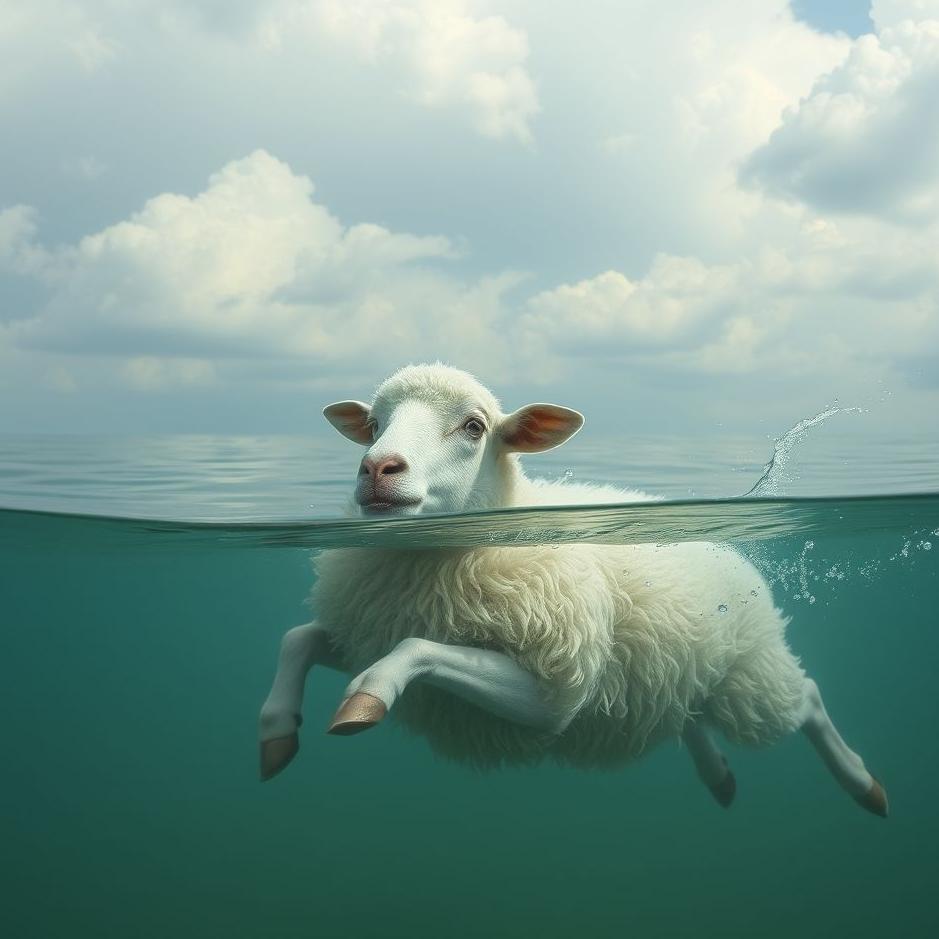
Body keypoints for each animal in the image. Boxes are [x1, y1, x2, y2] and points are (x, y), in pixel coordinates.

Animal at [258, 363, 887, 816]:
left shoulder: (553, 694)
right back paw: (719, 775)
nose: (377, 469)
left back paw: (862, 782)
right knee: (687, 713)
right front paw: (277, 733)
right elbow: (298, 638)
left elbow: (416, 650)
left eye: (474, 427)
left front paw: (369, 696)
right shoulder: (371, 629)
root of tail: (733, 550)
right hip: (680, 666)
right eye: (374, 425)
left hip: (749, 674)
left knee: (805, 699)